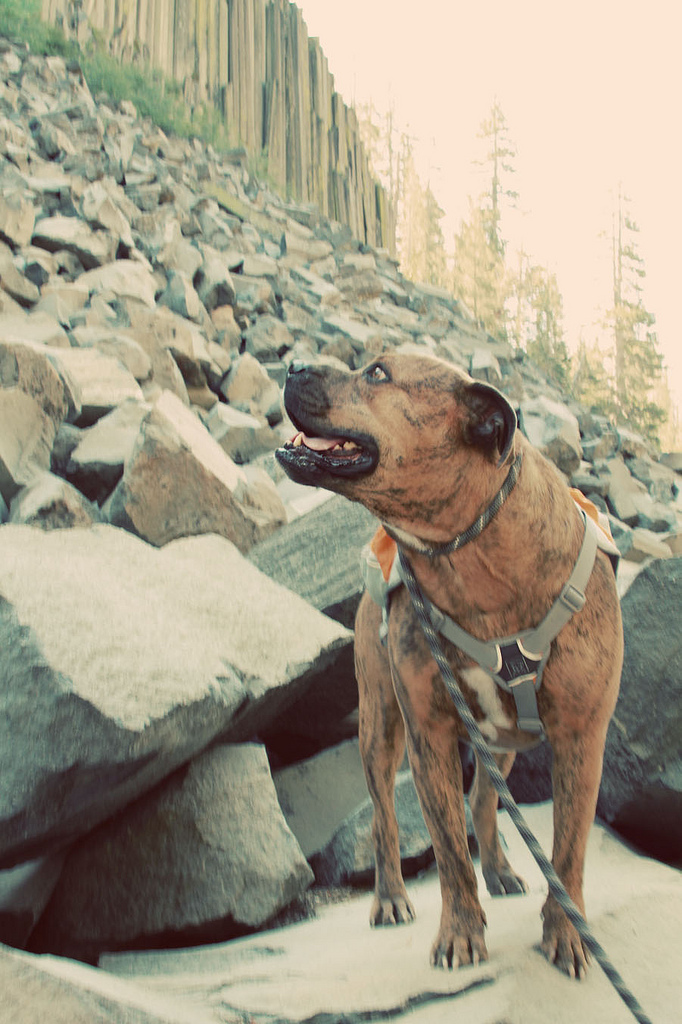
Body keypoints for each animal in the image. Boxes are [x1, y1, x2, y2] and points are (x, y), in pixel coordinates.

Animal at [274, 350, 622, 974]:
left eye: (378, 373)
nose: (293, 364)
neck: (471, 556)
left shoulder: (582, 737)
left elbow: (568, 851)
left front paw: (567, 932)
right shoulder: (427, 733)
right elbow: (448, 850)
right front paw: (461, 932)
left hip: (503, 740)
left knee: (484, 798)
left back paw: (502, 870)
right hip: (379, 725)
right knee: (385, 818)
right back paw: (391, 896)